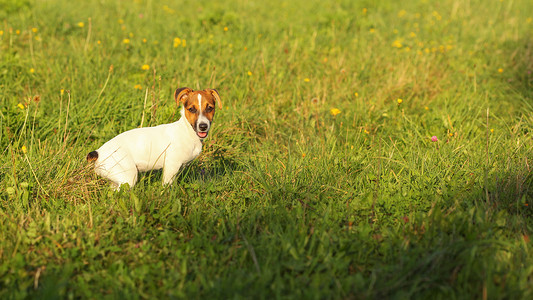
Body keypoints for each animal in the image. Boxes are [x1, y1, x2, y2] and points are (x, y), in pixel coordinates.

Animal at [87, 87, 220, 190]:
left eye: (210, 108)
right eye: (192, 109)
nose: (203, 126)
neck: (187, 131)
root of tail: (98, 153)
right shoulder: (171, 165)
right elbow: (167, 186)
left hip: (116, 179)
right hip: (128, 176)